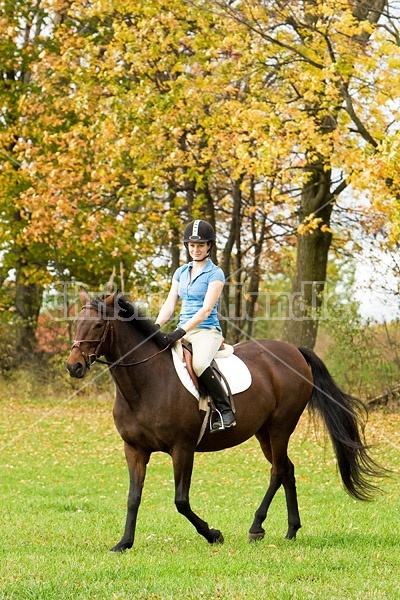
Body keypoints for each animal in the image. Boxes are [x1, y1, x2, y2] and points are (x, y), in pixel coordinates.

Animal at [67, 288, 386, 552]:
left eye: (98, 325)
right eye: (75, 323)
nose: (74, 367)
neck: (145, 383)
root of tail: (294, 350)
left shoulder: (182, 448)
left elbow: (181, 501)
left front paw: (213, 534)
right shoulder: (134, 449)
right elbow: (133, 497)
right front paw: (124, 542)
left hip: (281, 427)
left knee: (277, 471)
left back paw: (257, 527)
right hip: (263, 432)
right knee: (287, 470)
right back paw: (291, 530)